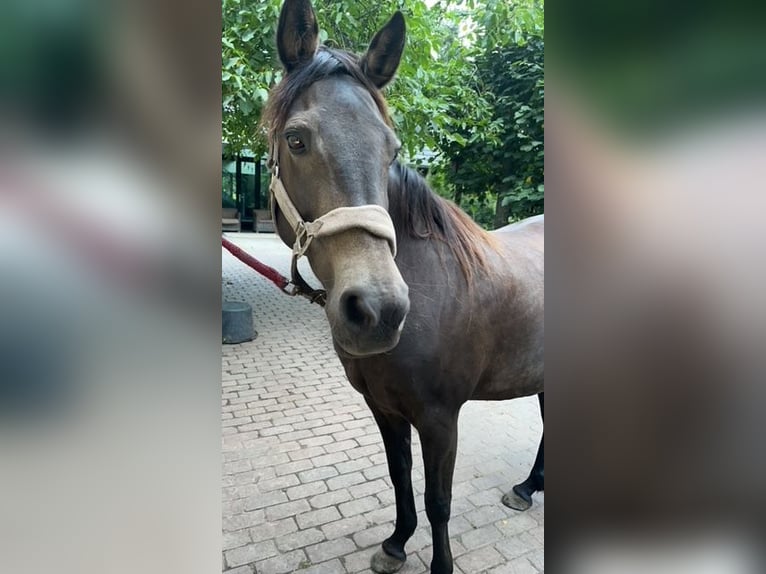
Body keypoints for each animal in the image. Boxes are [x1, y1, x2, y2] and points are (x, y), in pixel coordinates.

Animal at [263, 2, 544, 572]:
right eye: (296, 139)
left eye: (391, 149)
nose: (379, 310)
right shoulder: (384, 408)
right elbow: (399, 478)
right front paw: (396, 543)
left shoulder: (440, 419)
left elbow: (439, 500)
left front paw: (440, 564)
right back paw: (526, 489)